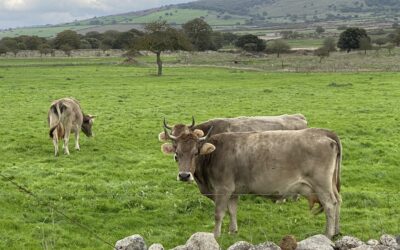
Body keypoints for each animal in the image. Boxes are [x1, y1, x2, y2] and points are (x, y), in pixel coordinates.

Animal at [161, 125, 342, 238]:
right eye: (176, 154)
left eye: (195, 153)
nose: (184, 175)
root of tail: (323, 132)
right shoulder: (233, 191)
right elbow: (232, 211)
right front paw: (233, 231)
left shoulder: (223, 189)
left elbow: (219, 213)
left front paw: (215, 235)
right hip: (331, 184)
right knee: (338, 201)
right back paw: (337, 232)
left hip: (322, 185)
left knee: (330, 204)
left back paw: (328, 234)